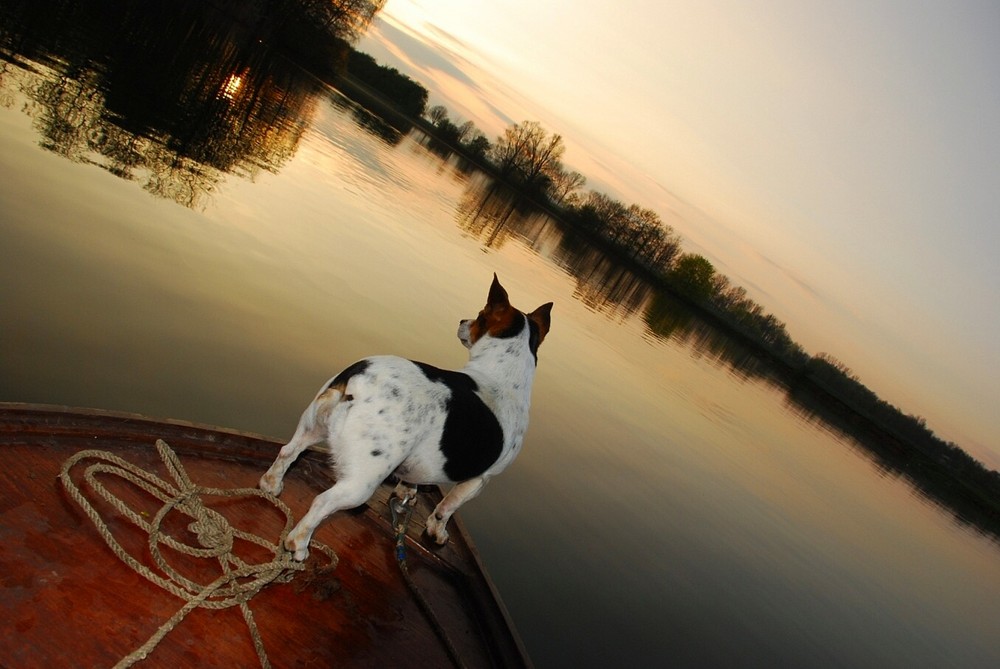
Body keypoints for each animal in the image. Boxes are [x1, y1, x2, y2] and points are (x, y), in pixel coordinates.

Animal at [260, 272, 556, 560]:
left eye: (479, 316)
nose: (462, 320)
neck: (500, 376)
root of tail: (358, 378)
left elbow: (412, 479)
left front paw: (406, 493)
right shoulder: (479, 479)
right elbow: (446, 508)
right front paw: (437, 531)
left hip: (312, 427)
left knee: (288, 452)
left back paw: (271, 485)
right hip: (361, 481)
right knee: (323, 502)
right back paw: (298, 544)